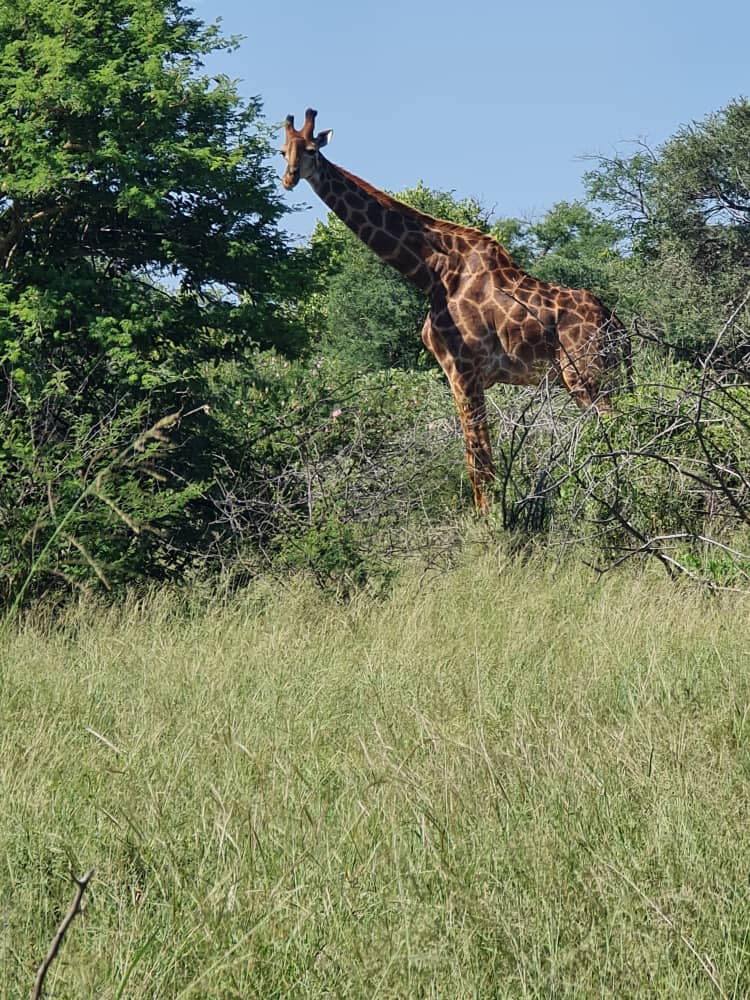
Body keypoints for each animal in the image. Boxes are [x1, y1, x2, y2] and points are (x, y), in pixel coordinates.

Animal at [281, 108, 628, 513]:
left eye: (310, 151)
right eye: (282, 151)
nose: (289, 179)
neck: (431, 272)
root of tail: (616, 326)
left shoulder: (463, 371)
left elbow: (478, 461)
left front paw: (489, 521)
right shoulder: (460, 375)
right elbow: (477, 458)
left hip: (586, 377)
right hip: (611, 376)